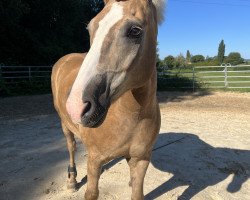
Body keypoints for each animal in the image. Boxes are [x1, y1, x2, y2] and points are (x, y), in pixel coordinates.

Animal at [50, 0, 166, 199]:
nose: (77, 106)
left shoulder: (141, 159)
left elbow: (137, 191)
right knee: (71, 146)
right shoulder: (95, 160)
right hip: (65, 124)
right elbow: (91, 192)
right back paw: (72, 180)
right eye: (90, 28)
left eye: (135, 31)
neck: (131, 115)